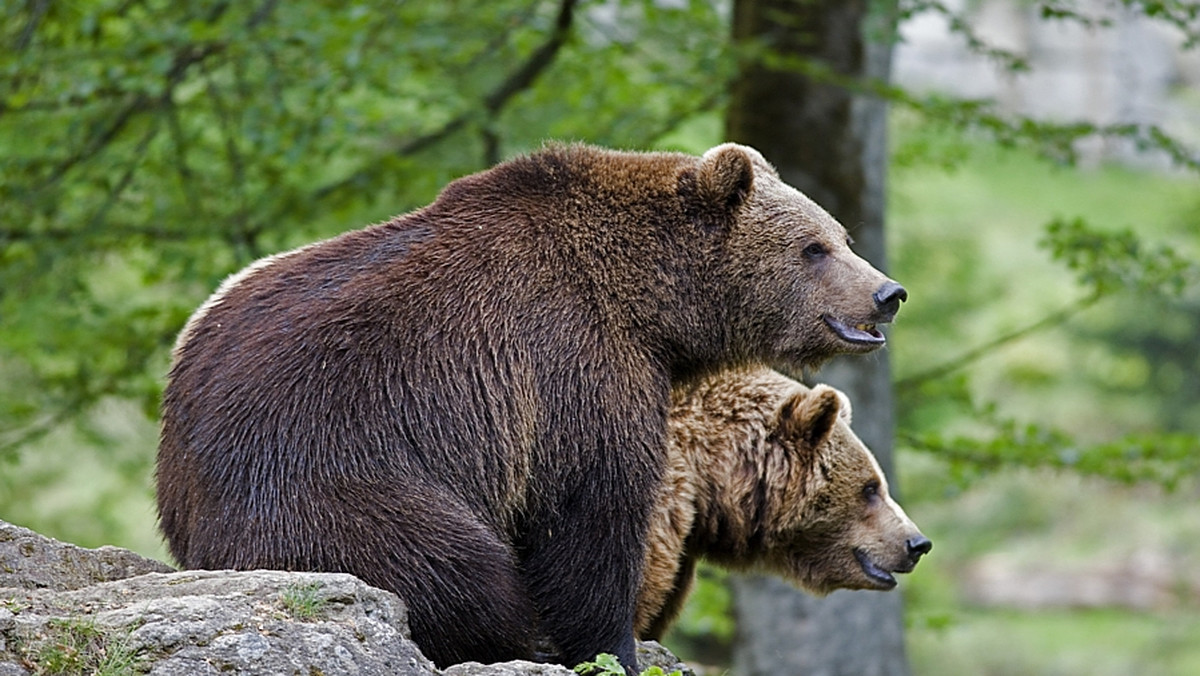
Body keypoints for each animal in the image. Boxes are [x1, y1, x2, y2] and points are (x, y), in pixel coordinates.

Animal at [157, 141, 907, 672]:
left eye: (842, 236)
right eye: (813, 248)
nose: (886, 293)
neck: (654, 308)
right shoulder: (568, 363)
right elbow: (591, 510)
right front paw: (609, 649)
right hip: (333, 476)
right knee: (451, 564)